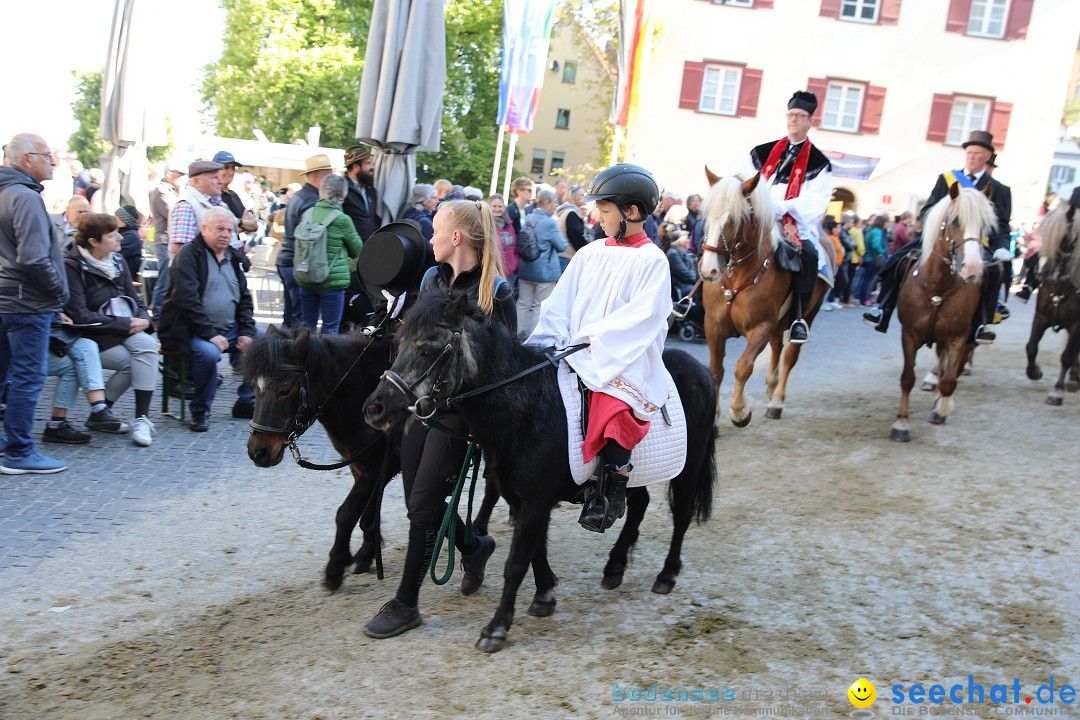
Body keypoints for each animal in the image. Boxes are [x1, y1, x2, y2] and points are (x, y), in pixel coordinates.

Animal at [362, 291, 717, 651]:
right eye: (398, 343)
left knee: (682, 516)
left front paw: (496, 627)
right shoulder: (526, 500)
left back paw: (667, 574)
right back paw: (615, 566)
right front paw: (544, 593)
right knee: (639, 504)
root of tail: (701, 371)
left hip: (689, 469)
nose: (374, 408)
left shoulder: (535, 501)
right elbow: (536, 550)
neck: (527, 408)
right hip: (636, 475)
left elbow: (516, 562)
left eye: (427, 348)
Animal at [699, 169, 833, 427]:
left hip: (809, 313)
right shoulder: (713, 325)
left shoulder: (761, 327)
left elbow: (743, 367)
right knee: (777, 346)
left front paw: (740, 412)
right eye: (706, 215)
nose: (709, 271)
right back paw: (771, 386)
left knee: (789, 355)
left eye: (734, 220)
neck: (736, 279)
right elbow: (715, 370)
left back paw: (776, 401)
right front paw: (714, 419)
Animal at [889, 181, 989, 440]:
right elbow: (907, 378)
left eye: (984, 225)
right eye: (955, 221)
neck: (938, 287)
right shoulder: (909, 334)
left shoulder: (958, 337)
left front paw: (941, 409)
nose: (972, 268)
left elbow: (949, 381)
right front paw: (901, 424)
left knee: (950, 370)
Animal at [1019, 202, 1080, 405]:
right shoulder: (1042, 317)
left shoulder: (1077, 324)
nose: (1043, 273)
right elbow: (1031, 347)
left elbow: (1067, 356)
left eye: (1066, 238)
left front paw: (1056, 392)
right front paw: (1034, 372)